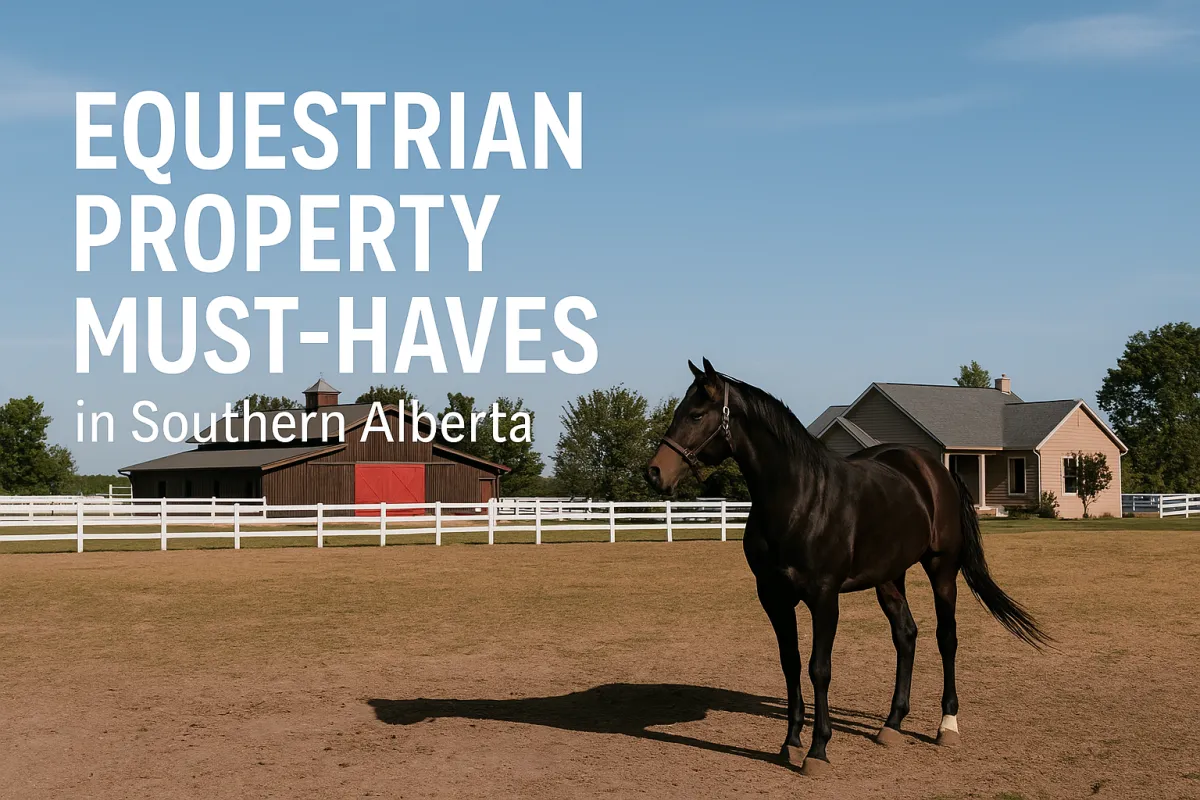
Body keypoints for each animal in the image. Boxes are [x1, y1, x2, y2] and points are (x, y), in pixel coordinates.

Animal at [646, 358, 1048, 776]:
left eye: (696, 415)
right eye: (678, 412)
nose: (654, 472)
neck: (799, 498)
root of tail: (935, 469)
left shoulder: (824, 597)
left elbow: (819, 668)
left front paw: (818, 749)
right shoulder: (774, 597)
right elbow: (791, 664)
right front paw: (791, 743)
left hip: (942, 569)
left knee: (946, 638)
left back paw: (947, 726)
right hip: (889, 577)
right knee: (906, 635)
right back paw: (892, 724)